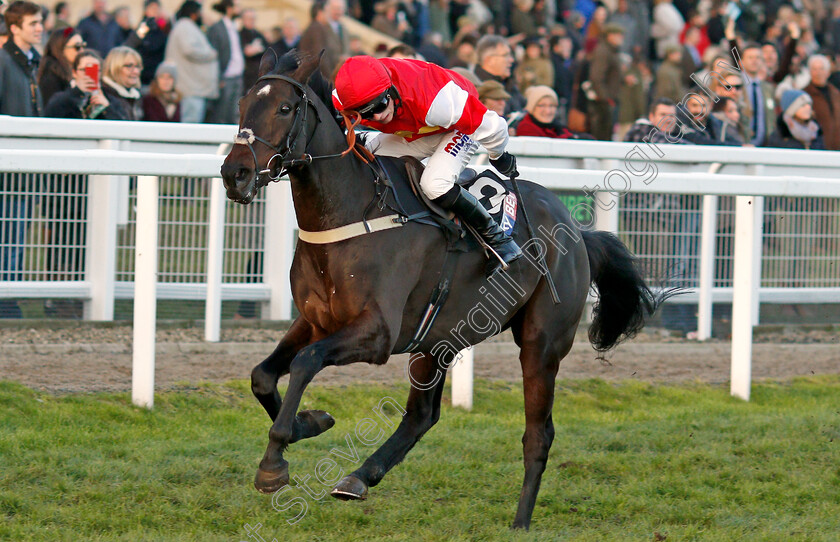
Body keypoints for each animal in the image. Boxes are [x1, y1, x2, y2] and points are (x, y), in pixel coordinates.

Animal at [223, 52, 668, 532]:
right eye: (242, 105)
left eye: (285, 109)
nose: (234, 173)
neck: (352, 214)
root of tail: (577, 233)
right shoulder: (315, 320)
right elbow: (263, 375)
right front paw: (312, 422)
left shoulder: (377, 333)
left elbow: (305, 362)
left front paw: (274, 463)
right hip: (436, 340)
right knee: (422, 416)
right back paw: (359, 477)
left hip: (541, 342)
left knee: (538, 433)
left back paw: (520, 521)